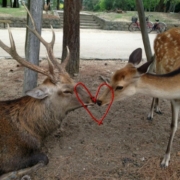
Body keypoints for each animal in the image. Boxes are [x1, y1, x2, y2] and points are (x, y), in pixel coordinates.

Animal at [0, 4, 93, 180]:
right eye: (66, 91)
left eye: (73, 81)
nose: (93, 98)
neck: (35, 132)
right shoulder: (10, 155)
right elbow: (44, 158)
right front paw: (14, 174)